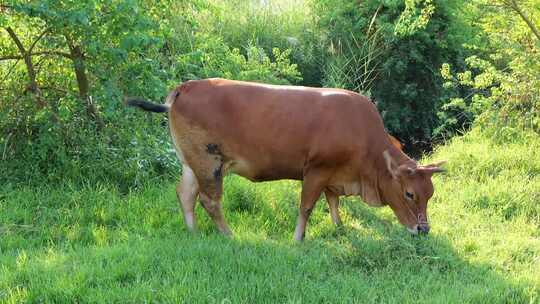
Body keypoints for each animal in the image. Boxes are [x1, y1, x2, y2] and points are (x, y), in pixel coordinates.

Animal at [129, 79, 446, 241]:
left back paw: (193, 232)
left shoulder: (334, 175)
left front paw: (339, 227)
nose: (423, 229)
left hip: (192, 163)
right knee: (210, 201)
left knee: (185, 194)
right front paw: (298, 239)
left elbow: (333, 201)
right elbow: (306, 207)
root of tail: (185, 87)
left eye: (430, 194)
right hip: (210, 163)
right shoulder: (317, 170)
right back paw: (230, 235)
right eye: (409, 193)